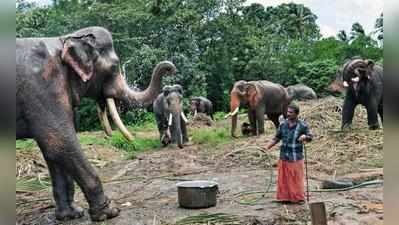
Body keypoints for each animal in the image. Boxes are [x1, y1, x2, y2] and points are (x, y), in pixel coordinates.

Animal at [16, 26, 177, 221]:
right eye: (114, 66)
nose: (170, 68)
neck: (65, 39)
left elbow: (53, 152)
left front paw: (72, 215)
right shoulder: (43, 87)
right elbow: (60, 142)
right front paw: (109, 213)